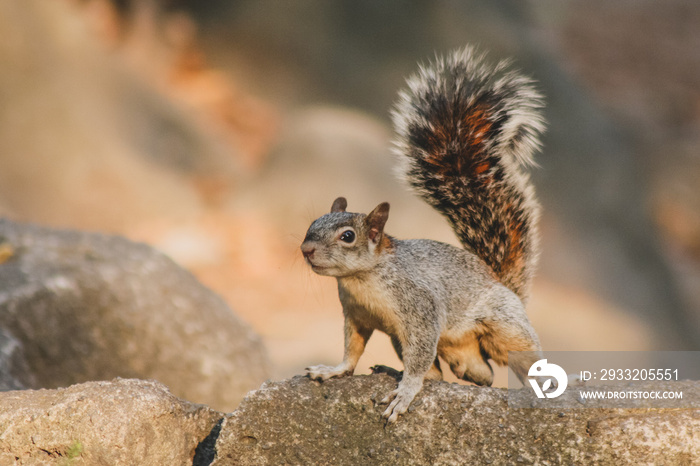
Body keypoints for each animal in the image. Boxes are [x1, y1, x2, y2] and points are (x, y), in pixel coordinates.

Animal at [298, 46, 544, 422]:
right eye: (313, 224)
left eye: (348, 236)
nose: (306, 249)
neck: (361, 280)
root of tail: (502, 284)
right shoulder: (355, 316)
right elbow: (352, 349)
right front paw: (334, 370)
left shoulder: (420, 308)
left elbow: (418, 358)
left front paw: (406, 391)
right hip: (426, 345)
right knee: (469, 374)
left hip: (504, 326)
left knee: (521, 357)